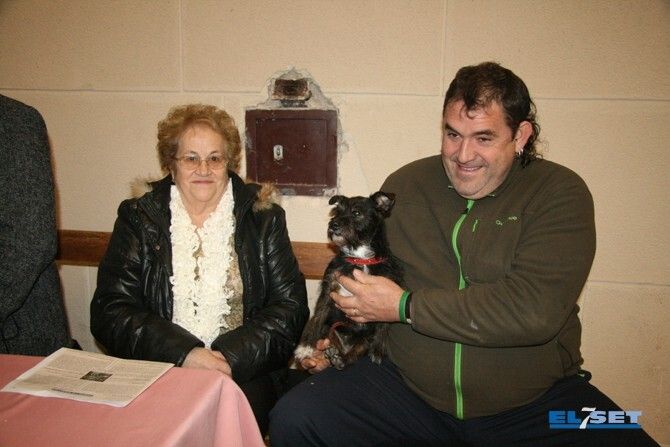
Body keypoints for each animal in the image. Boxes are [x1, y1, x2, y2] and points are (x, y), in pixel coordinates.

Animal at [292, 191, 403, 370]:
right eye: (337, 212)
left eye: (356, 213)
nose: (333, 225)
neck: (360, 259)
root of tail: (344, 345)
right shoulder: (328, 290)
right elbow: (317, 318)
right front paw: (305, 347)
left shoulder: (385, 293)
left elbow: (384, 325)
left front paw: (378, 349)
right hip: (331, 328)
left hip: (364, 340)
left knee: (353, 355)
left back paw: (341, 359)